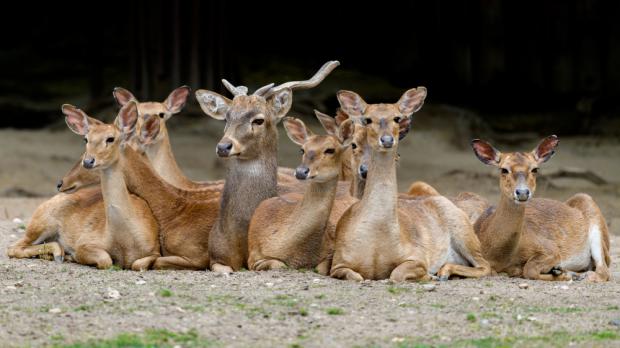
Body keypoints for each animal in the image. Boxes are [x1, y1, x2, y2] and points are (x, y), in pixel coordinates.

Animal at [326, 88, 492, 282]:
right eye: (368, 119)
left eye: (397, 118)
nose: (387, 140)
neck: (376, 240)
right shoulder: (338, 261)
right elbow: (357, 276)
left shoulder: (417, 255)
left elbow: (396, 274)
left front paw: (429, 275)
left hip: (464, 231)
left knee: (485, 265)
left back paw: (443, 272)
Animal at [470, 135, 612, 282]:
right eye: (503, 169)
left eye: (535, 169)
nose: (522, 192)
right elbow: (496, 271)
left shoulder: (550, 248)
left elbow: (529, 269)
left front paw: (562, 274)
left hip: (592, 213)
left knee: (603, 271)